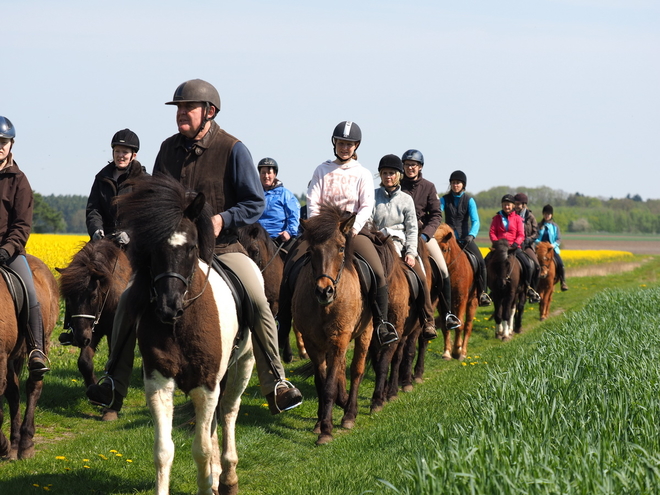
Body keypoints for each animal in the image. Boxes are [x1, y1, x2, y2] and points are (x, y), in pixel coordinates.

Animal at [0, 256, 58, 462]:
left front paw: (2, 445)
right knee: (13, 393)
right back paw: (14, 442)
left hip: (43, 340)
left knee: (34, 385)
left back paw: (25, 444)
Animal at [56, 238, 131, 390]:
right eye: (68, 298)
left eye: (94, 296)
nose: (80, 339)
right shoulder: (92, 330)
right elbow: (84, 362)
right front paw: (92, 385)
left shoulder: (111, 331)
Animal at [116, 176, 255, 495]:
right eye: (153, 247)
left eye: (191, 247)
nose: (169, 306)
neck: (180, 325)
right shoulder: (159, 383)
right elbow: (163, 450)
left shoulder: (206, 385)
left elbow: (200, 449)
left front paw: (210, 481)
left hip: (243, 365)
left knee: (229, 411)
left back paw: (228, 477)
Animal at [292, 205, 374, 446]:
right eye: (311, 251)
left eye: (340, 248)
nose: (324, 291)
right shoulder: (313, 343)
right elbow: (322, 382)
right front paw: (320, 423)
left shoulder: (339, 339)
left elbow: (329, 386)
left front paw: (326, 431)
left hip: (366, 332)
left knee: (356, 370)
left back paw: (349, 414)